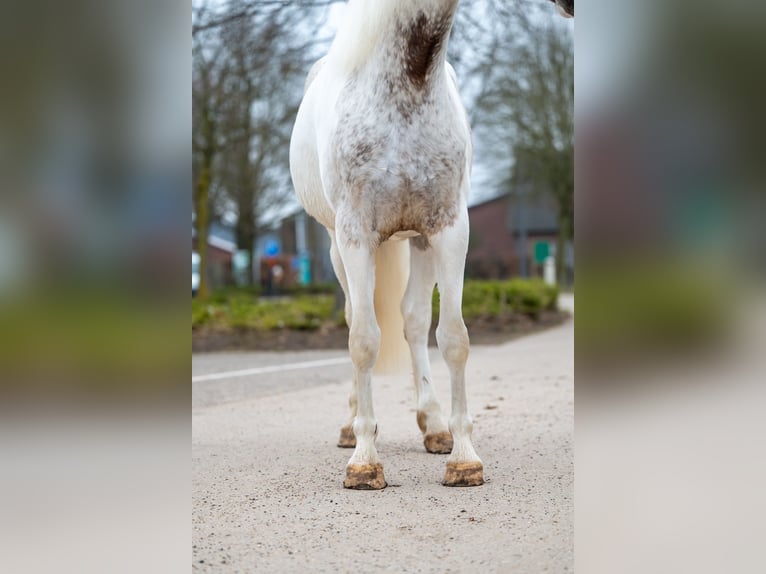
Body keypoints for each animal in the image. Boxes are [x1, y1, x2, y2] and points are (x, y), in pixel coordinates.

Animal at [292, 0, 484, 490]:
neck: (407, 88)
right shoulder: (355, 233)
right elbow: (362, 340)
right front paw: (364, 461)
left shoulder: (448, 230)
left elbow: (453, 337)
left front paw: (464, 458)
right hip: (338, 247)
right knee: (354, 317)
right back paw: (350, 426)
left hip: (417, 242)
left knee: (414, 322)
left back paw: (434, 426)